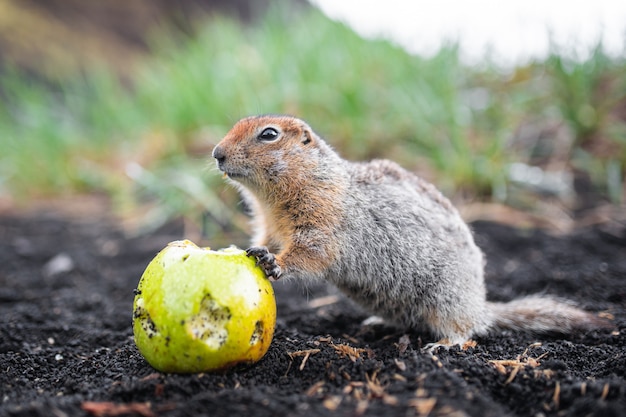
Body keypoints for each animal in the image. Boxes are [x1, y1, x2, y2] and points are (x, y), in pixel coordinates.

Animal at [212, 114, 608, 344]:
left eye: (269, 134)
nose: (216, 153)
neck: (272, 200)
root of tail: (480, 305)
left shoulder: (322, 216)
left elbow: (313, 251)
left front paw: (273, 262)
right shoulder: (268, 224)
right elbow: (266, 238)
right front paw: (248, 249)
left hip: (447, 300)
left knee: (467, 330)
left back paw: (443, 344)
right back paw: (376, 323)